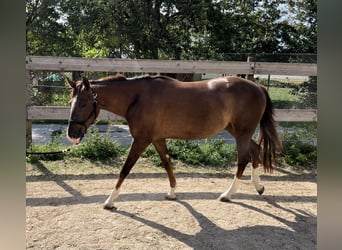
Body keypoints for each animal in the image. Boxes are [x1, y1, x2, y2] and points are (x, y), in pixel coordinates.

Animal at [66, 74, 280, 209]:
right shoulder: (157, 139)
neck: (138, 97)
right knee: (256, 150)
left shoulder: (141, 140)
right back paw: (259, 187)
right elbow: (167, 163)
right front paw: (172, 193)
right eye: (70, 103)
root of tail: (258, 87)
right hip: (237, 131)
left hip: (242, 133)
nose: (72, 134)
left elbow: (125, 169)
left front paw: (110, 201)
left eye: (83, 103)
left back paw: (227, 195)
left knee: (243, 159)